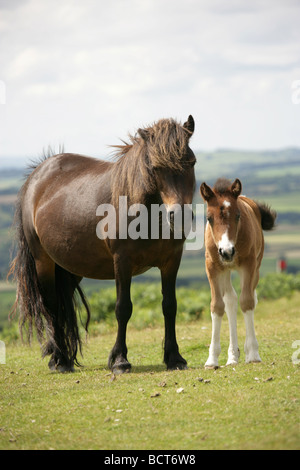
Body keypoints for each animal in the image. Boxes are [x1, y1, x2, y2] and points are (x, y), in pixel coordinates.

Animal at [9, 115, 196, 372]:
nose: (179, 217)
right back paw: (60, 360)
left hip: (70, 267)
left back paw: (61, 357)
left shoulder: (171, 261)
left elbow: (170, 306)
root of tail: (35, 178)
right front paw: (120, 360)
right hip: (42, 262)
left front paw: (174, 358)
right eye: (156, 168)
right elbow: (123, 308)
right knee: (52, 306)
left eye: (192, 163)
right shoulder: (122, 262)